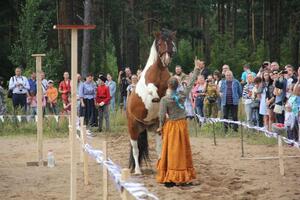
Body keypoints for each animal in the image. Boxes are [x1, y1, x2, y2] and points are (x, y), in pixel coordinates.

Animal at [126, 29, 176, 173]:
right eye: (159, 44)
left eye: (171, 43)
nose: (166, 60)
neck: (158, 70)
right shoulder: (149, 86)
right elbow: (152, 89)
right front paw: (155, 98)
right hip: (133, 129)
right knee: (136, 150)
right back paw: (137, 170)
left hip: (156, 128)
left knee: (159, 149)